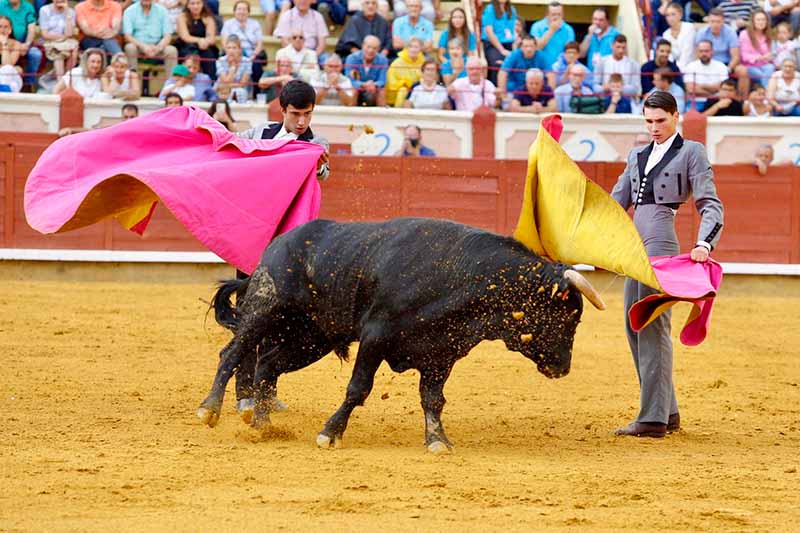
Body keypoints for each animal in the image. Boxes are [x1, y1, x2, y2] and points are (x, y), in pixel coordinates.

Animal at [197, 218, 605, 453]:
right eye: (568, 315)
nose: (563, 368)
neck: (458, 274)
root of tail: (278, 244)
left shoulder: (442, 353)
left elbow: (434, 399)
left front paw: (438, 441)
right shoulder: (376, 336)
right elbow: (358, 389)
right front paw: (330, 433)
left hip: (312, 338)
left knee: (268, 364)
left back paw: (263, 424)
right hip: (265, 309)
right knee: (233, 353)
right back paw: (210, 409)